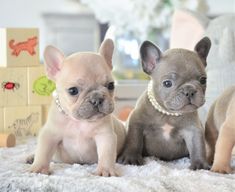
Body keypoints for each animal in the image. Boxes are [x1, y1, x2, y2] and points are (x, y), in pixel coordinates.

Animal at [28, 39, 126, 177]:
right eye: (73, 91)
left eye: (111, 85)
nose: (97, 99)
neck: (79, 122)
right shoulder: (49, 134)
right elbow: (43, 152)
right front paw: (39, 168)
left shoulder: (105, 136)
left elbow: (106, 154)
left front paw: (105, 170)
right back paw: (30, 157)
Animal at [118, 37, 212, 170]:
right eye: (167, 83)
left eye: (203, 80)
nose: (189, 91)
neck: (168, 114)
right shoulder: (137, 123)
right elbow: (133, 140)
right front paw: (131, 158)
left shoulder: (193, 129)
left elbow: (198, 146)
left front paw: (200, 165)